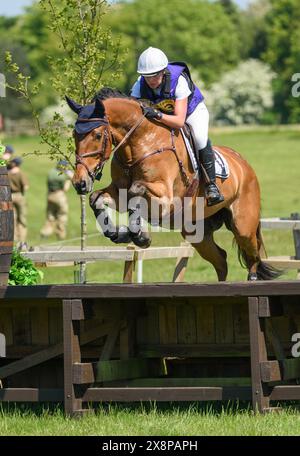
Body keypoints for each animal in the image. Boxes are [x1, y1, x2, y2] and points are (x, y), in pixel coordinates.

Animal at [67, 88, 280, 282]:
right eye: (74, 135)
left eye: (97, 135)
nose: (80, 183)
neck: (139, 145)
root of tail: (244, 164)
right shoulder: (119, 192)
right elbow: (96, 199)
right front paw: (118, 234)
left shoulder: (165, 200)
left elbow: (137, 190)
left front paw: (141, 237)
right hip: (196, 232)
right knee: (221, 260)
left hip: (243, 225)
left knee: (252, 257)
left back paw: (251, 278)